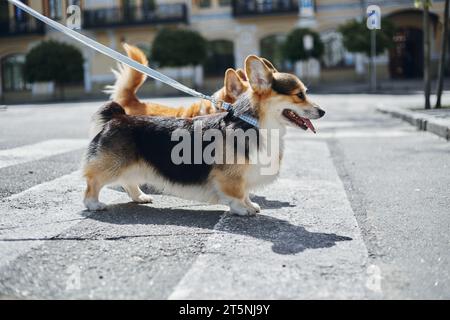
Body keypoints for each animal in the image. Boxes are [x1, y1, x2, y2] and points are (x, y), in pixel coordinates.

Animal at [83, 55, 324, 215]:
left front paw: (251, 205)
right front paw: (242, 209)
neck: (257, 123)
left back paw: (140, 197)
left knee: (129, 181)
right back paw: (94, 204)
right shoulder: (231, 177)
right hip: (112, 166)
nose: (323, 111)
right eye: (299, 95)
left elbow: (245, 192)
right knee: (93, 182)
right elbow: (237, 194)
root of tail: (117, 116)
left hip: (134, 165)